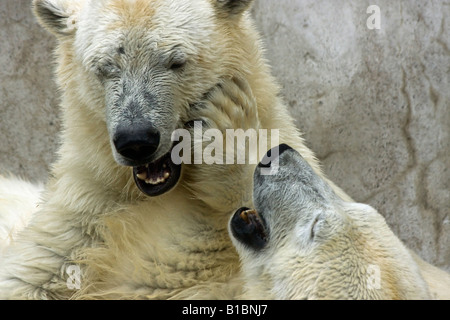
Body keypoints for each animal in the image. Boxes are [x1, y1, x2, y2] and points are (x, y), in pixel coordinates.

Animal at [0, 0, 352, 300]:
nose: (136, 140)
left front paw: (228, 135)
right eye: (105, 67)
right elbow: (28, 277)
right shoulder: (79, 221)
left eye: (175, 61)